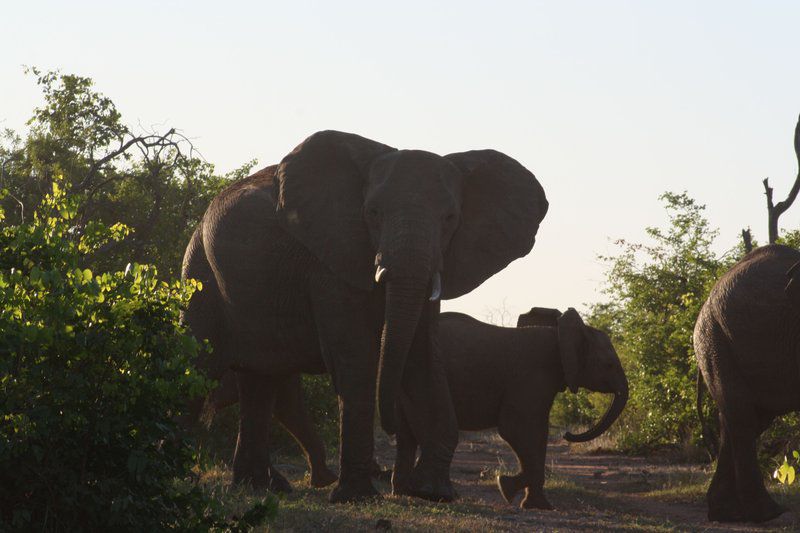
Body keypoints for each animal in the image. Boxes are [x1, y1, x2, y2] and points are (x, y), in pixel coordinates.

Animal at [184, 130, 548, 502]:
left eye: (450, 218)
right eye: (372, 213)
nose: (391, 426)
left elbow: (422, 356)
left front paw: (433, 492)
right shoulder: (330, 262)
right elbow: (356, 357)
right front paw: (357, 496)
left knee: (260, 381)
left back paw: (258, 486)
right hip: (200, 274)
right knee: (200, 366)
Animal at [390, 310, 628, 510]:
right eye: (608, 365)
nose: (567, 434)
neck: (560, 334)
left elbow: (537, 433)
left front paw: (538, 506)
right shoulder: (531, 375)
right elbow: (517, 429)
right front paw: (504, 486)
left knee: (406, 436)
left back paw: (403, 493)